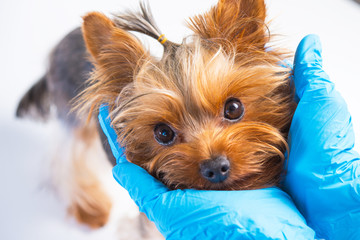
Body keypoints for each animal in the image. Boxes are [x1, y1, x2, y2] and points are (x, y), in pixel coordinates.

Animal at [16, 0, 296, 235]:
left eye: (234, 108)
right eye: (163, 133)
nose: (215, 167)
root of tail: (63, 41)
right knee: (66, 160)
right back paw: (90, 209)